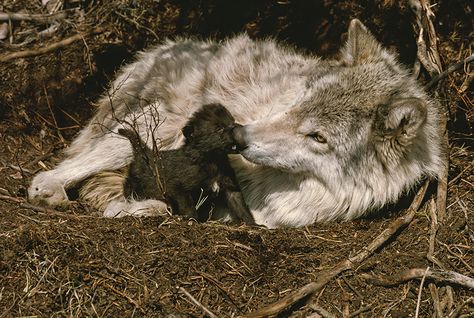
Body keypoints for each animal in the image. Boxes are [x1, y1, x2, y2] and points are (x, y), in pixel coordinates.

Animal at [120, 103, 258, 225]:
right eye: (219, 128)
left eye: (232, 122)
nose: (241, 129)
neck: (211, 160)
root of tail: (144, 154)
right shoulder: (179, 188)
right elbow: (187, 206)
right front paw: (192, 220)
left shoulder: (230, 188)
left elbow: (240, 206)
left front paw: (252, 224)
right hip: (135, 187)